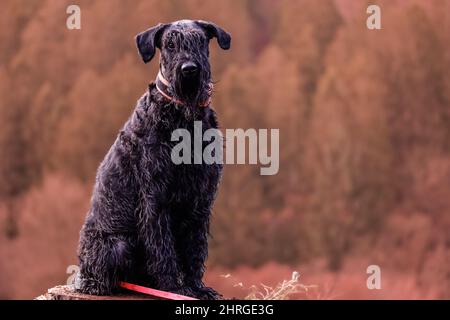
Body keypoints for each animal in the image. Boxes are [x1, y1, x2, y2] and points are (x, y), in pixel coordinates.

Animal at [75, 20, 230, 300]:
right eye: (170, 44)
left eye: (201, 41)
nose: (189, 69)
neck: (183, 119)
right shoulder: (155, 198)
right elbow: (162, 248)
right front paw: (174, 288)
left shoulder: (201, 198)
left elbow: (195, 248)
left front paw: (197, 287)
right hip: (118, 245)